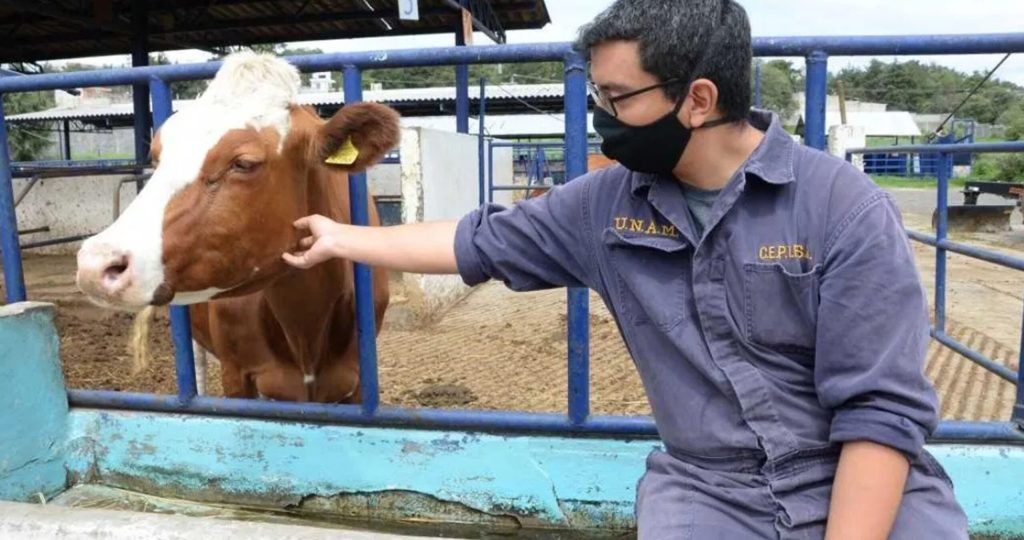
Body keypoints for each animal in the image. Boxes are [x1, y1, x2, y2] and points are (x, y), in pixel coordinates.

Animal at [74, 52, 395, 403]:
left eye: (243, 163)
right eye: (157, 158)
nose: (95, 263)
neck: (305, 328)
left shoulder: (358, 382)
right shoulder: (237, 374)